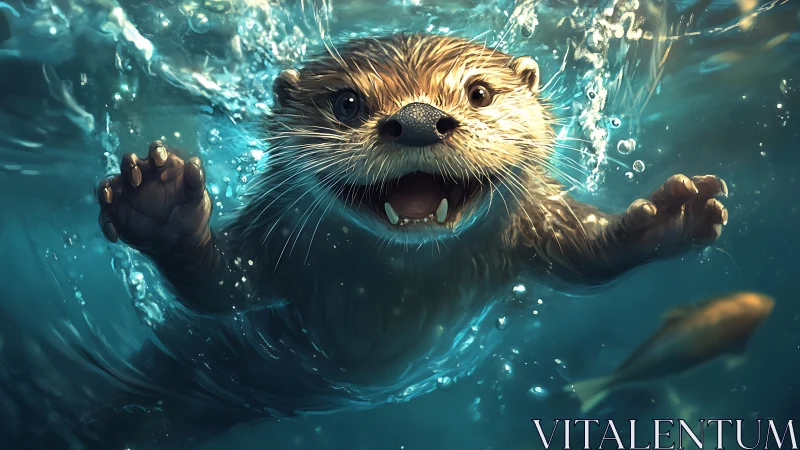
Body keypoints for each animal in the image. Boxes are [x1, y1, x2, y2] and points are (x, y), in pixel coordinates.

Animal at [94, 33, 728, 446]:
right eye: (347, 102)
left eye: (479, 93)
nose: (420, 119)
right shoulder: (275, 244)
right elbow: (222, 286)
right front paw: (161, 205)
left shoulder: (532, 227)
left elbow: (584, 261)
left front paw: (669, 216)